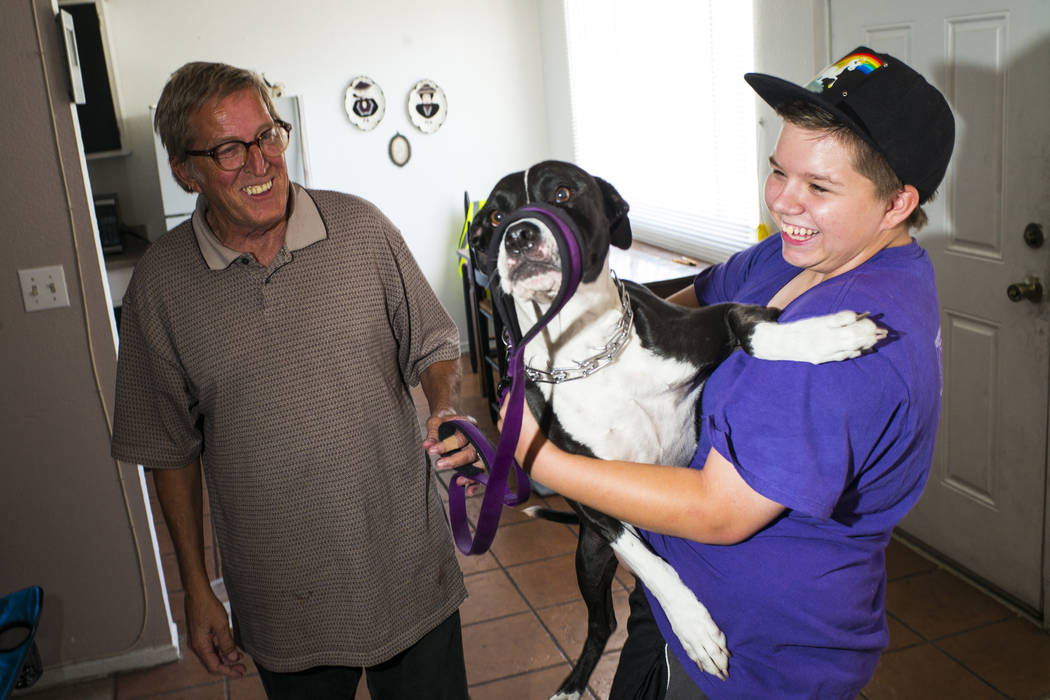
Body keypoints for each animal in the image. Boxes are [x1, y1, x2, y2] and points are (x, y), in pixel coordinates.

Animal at [470, 160, 886, 700]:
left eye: (562, 192)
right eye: (496, 215)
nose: (519, 235)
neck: (587, 353)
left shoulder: (707, 322)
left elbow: (749, 325)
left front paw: (818, 336)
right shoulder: (587, 492)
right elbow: (649, 563)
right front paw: (692, 628)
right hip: (589, 555)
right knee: (603, 621)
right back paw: (575, 681)